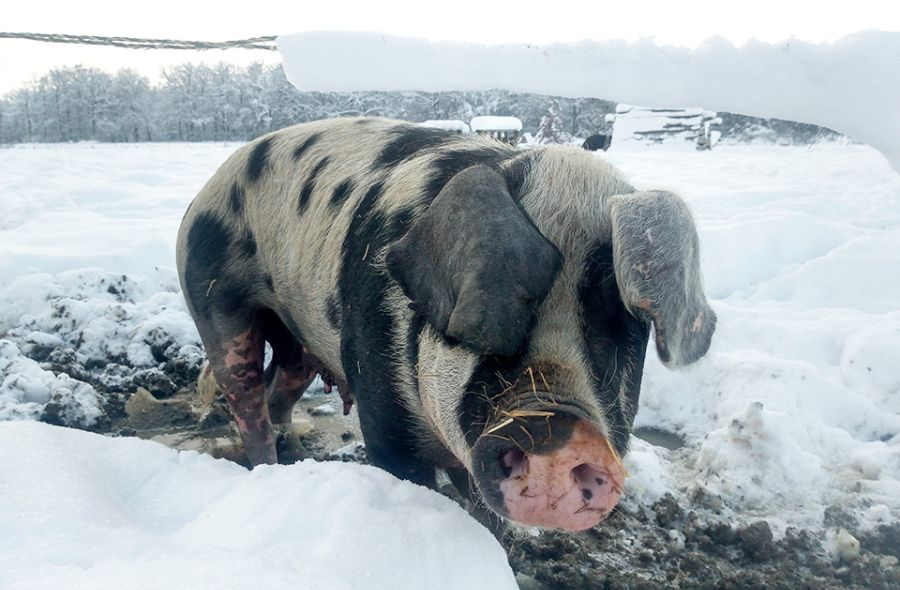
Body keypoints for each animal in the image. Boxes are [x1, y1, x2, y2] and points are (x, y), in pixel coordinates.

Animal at [176, 117, 715, 532]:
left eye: (621, 317)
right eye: (495, 304)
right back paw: (268, 467)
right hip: (214, 302)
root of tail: (204, 192)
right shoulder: (383, 415)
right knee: (246, 398)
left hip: (296, 338)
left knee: (282, 384)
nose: (561, 425)